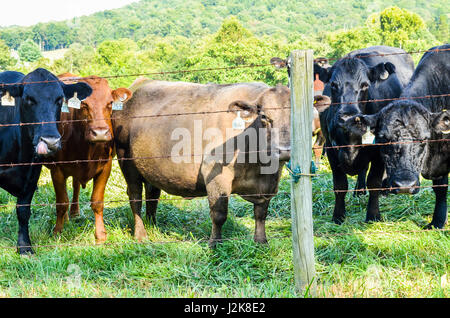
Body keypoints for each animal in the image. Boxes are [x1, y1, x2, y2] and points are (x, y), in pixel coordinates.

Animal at [0, 68, 91, 255]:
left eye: (59, 99)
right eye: (29, 99)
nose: (50, 141)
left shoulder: (32, 174)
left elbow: (23, 211)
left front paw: (24, 247)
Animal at [47, 74, 132, 242]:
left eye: (110, 103)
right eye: (84, 104)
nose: (100, 133)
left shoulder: (105, 167)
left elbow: (97, 201)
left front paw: (100, 235)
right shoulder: (57, 169)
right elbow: (61, 202)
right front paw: (57, 231)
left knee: (75, 185)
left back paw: (74, 213)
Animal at [316, 45, 414, 224]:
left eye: (365, 85)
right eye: (333, 84)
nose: (348, 116)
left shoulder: (379, 148)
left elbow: (374, 182)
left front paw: (373, 215)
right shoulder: (331, 149)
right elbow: (340, 185)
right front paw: (338, 216)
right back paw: (359, 190)